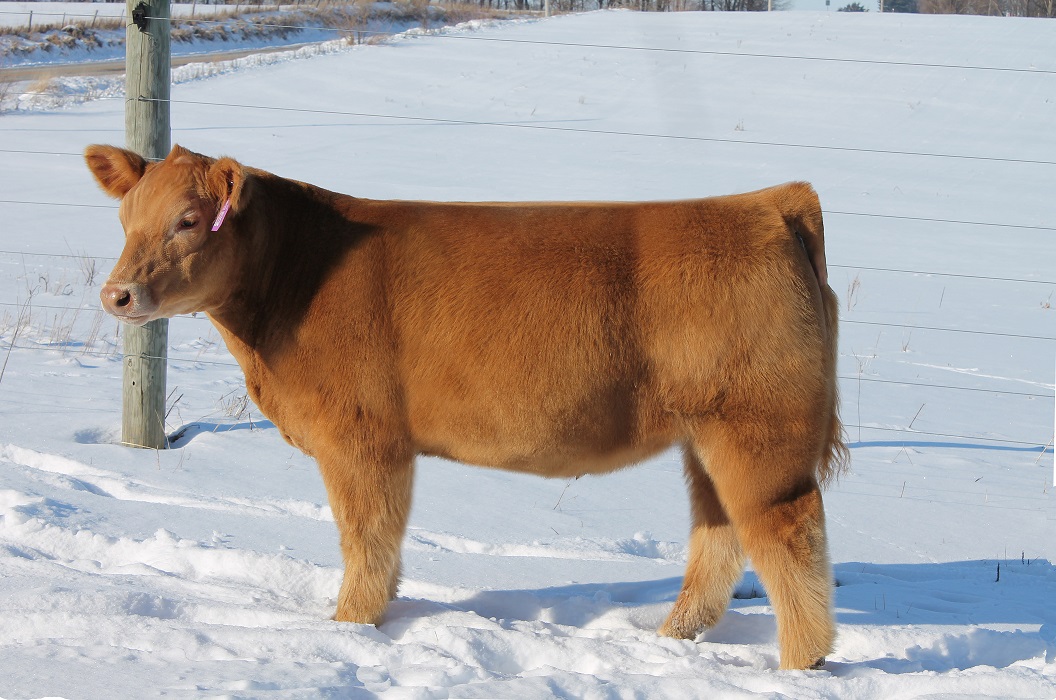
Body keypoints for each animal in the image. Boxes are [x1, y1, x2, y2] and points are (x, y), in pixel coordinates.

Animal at [86, 144, 847, 670]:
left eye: (188, 220)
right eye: (123, 217)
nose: (117, 294)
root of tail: (768, 203)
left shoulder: (361, 437)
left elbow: (367, 537)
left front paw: (349, 627)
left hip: (758, 430)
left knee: (788, 536)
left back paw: (798, 664)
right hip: (707, 436)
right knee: (719, 535)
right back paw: (670, 638)